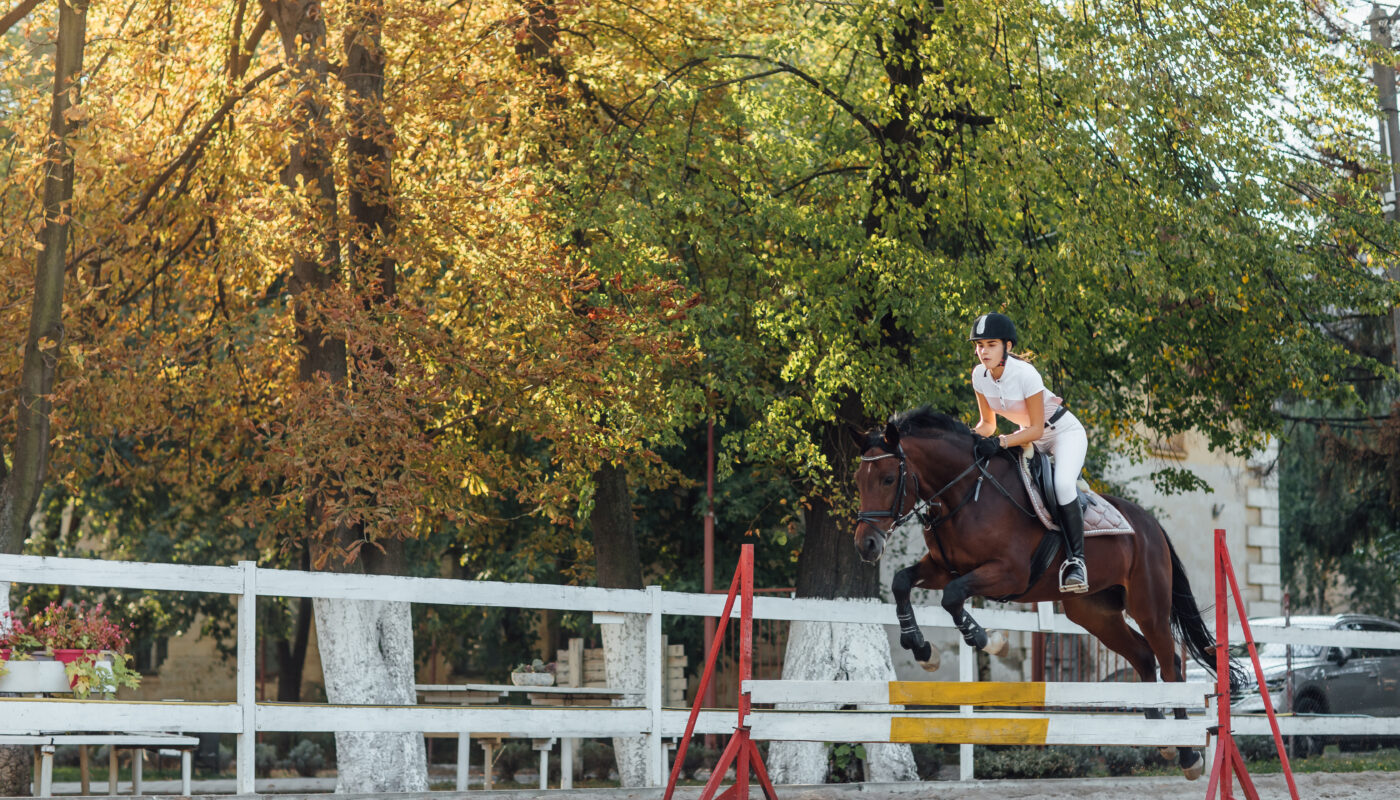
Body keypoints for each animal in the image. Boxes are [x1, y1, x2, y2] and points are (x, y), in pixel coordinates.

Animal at [850, 407, 1238, 780]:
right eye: (858, 480)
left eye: (888, 479)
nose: (866, 545)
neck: (964, 494)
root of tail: (1151, 525)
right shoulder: (942, 567)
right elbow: (902, 582)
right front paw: (921, 648)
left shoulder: (1008, 573)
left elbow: (952, 596)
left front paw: (988, 640)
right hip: (1094, 613)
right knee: (1143, 657)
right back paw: (1162, 740)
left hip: (1149, 605)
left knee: (1170, 663)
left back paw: (1188, 755)